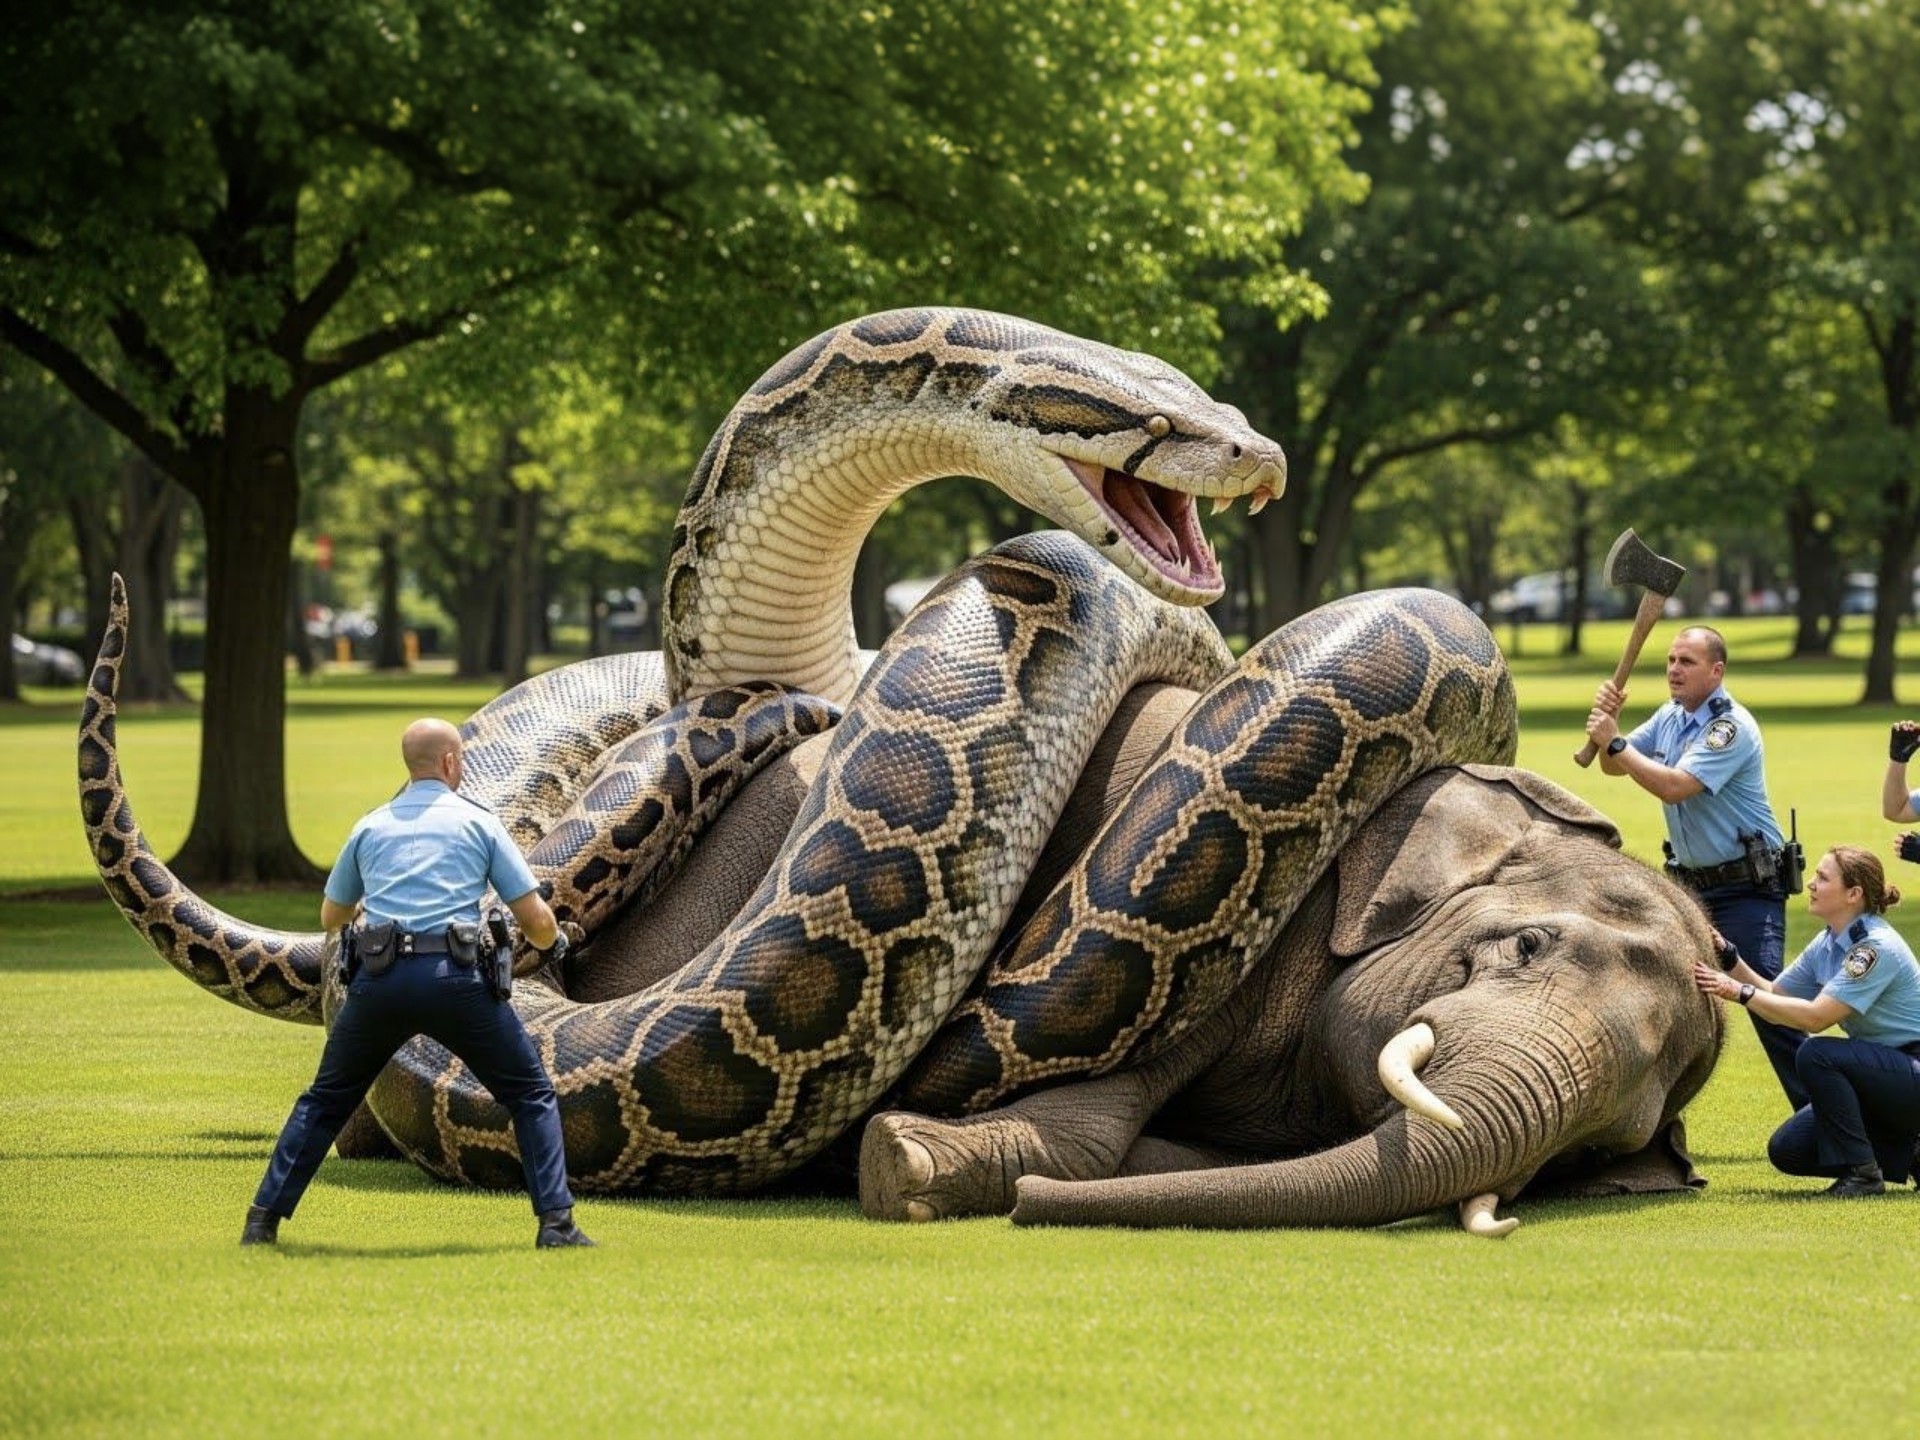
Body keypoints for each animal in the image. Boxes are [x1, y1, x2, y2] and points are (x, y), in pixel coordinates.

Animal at [855, 762, 1727, 1235]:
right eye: (1526, 946)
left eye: (1601, 1148)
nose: (1026, 1207)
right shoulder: (1268, 925)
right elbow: (1101, 1126)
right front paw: (899, 1159)